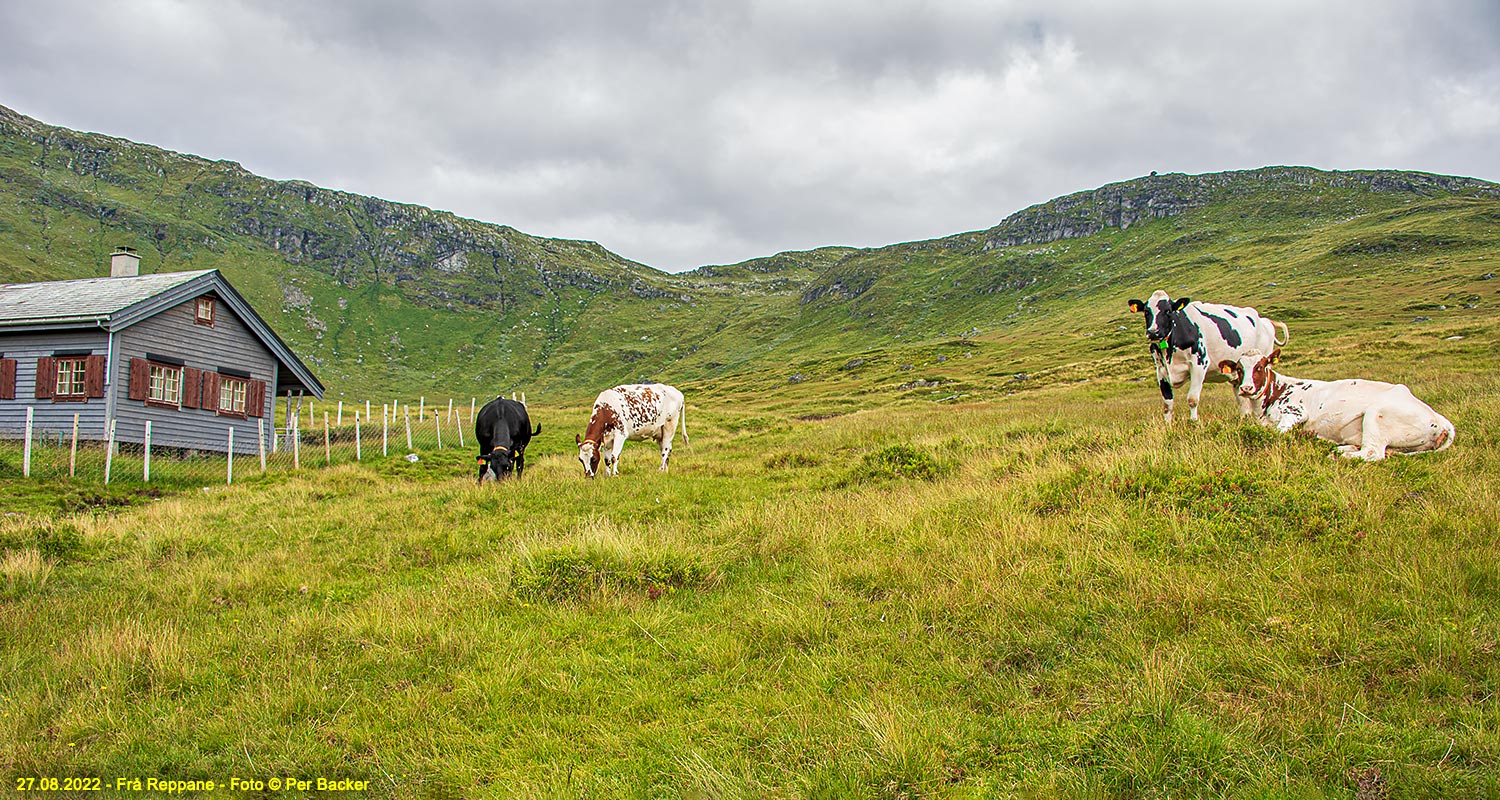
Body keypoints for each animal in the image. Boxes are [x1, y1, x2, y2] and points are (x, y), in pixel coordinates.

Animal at [1128, 288, 1290, 423]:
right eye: (1146, 311)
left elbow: (1192, 399)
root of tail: (1265, 321)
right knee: (1241, 398)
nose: (1153, 332)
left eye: (1168, 311)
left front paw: (1194, 422)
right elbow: (1168, 404)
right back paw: (1244, 419)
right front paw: (1167, 426)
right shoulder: (1160, 369)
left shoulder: (1199, 364)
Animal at [1224, 349, 1458, 462]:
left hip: (1376, 414)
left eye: (1260, 366)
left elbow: (1278, 432)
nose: (1246, 388)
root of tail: (1440, 419)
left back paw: (1339, 454)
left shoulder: (1297, 412)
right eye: (1239, 368)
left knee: (1373, 453)